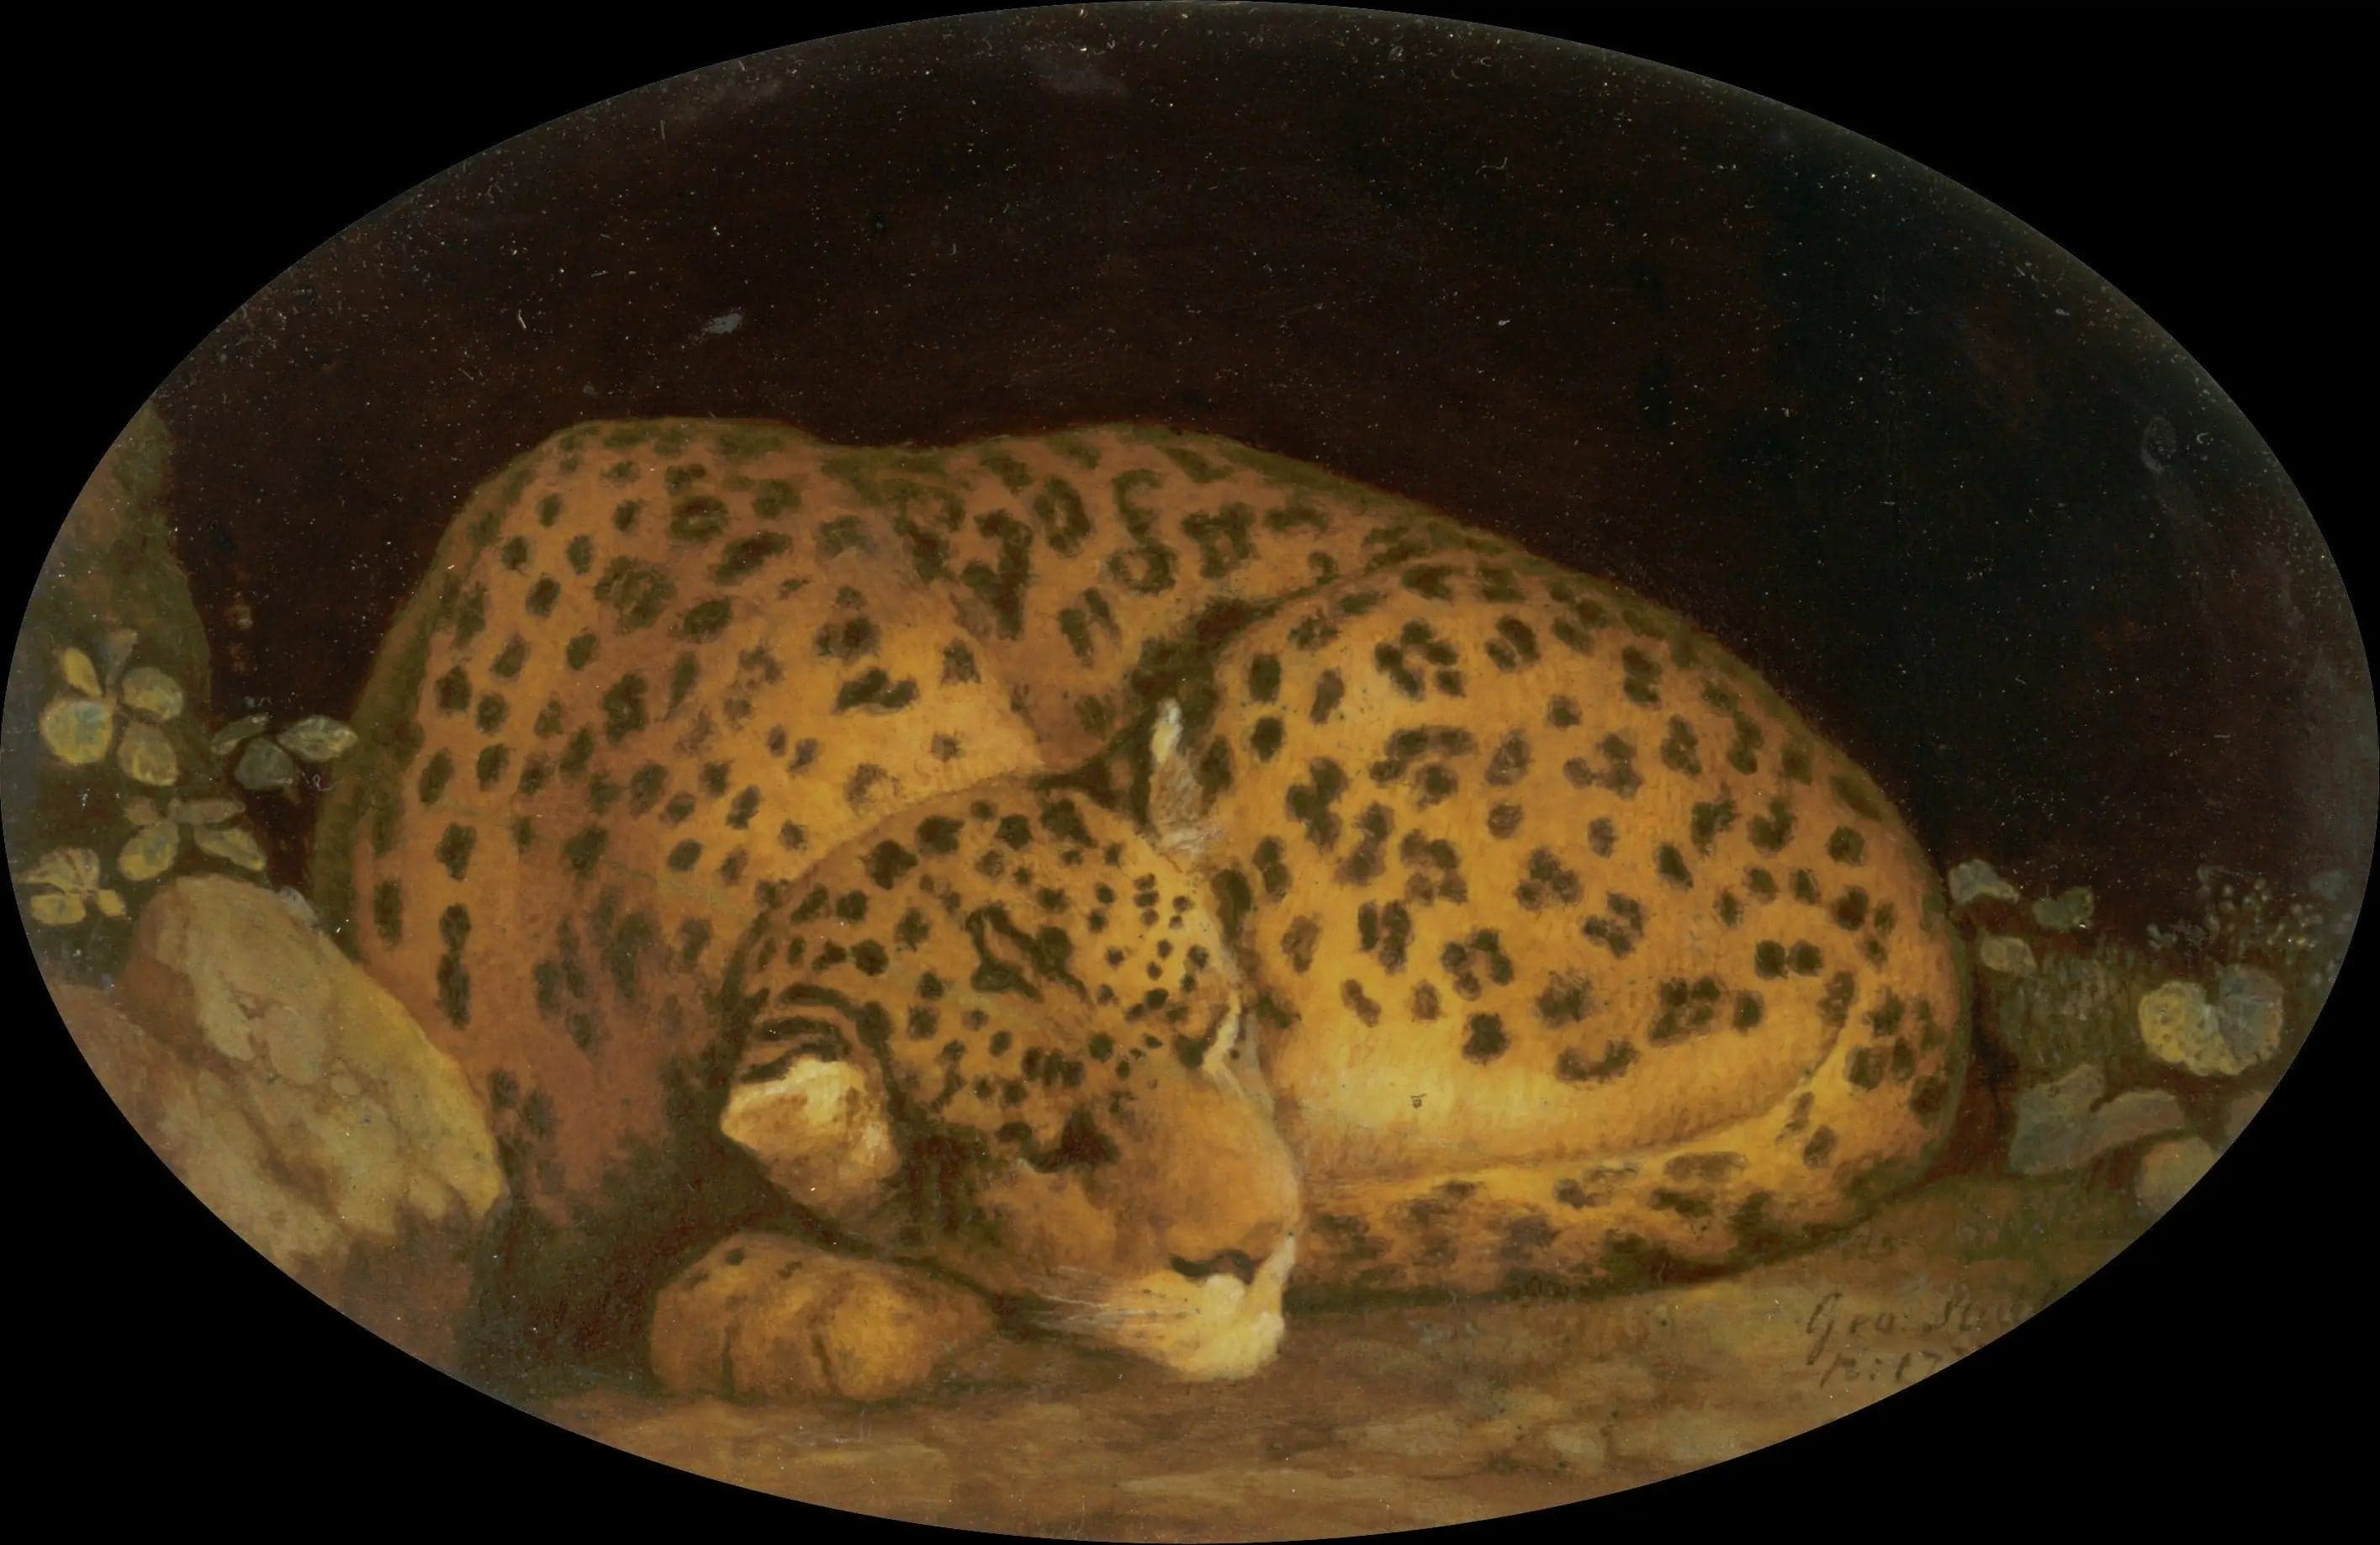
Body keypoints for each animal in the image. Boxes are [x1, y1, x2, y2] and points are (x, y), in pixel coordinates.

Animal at [312, 418, 1968, 1400]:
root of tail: (1910, 902)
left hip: (1299, 679)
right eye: (1048, 1145)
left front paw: (800, 1293)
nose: (1252, 1248)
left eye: (1220, 1028)